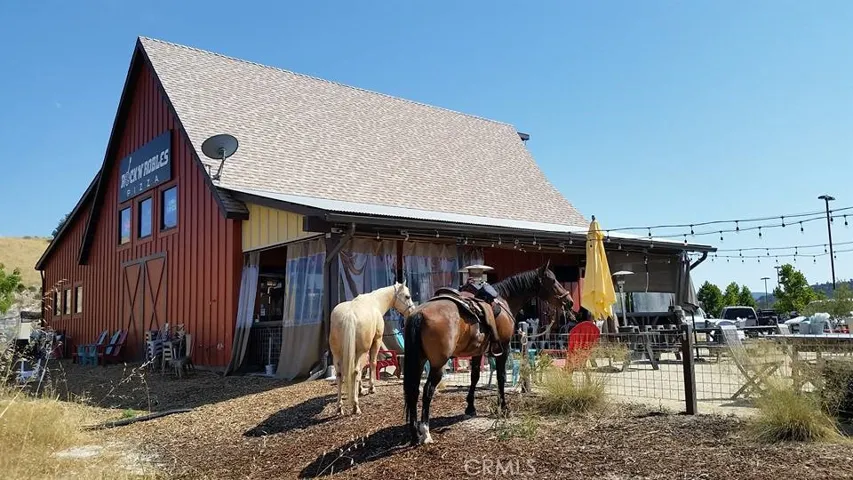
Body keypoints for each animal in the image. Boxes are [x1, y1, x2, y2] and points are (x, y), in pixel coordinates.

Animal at [329, 282, 415, 415]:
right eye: (407, 296)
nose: (412, 310)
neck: (375, 302)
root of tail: (349, 315)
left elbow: (363, 369)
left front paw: (360, 389)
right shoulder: (376, 341)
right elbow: (372, 363)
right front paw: (371, 388)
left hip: (337, 354)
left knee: (340, 374)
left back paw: (339, 407)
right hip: (361, 352)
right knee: (356, 371)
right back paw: (355, 406)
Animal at [402, 261, 574, 445]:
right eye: (552, 280)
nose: (569, 301)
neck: (504, 300)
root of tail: (419, 314)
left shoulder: (478, 352)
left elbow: (475, 376)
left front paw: (470, 407)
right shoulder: (504, 348)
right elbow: (500, 377)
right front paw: (504, 407)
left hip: (419, 361)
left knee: (413, 391)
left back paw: (414, 434)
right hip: (437, 365)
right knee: (427, 390)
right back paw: (425, 432)